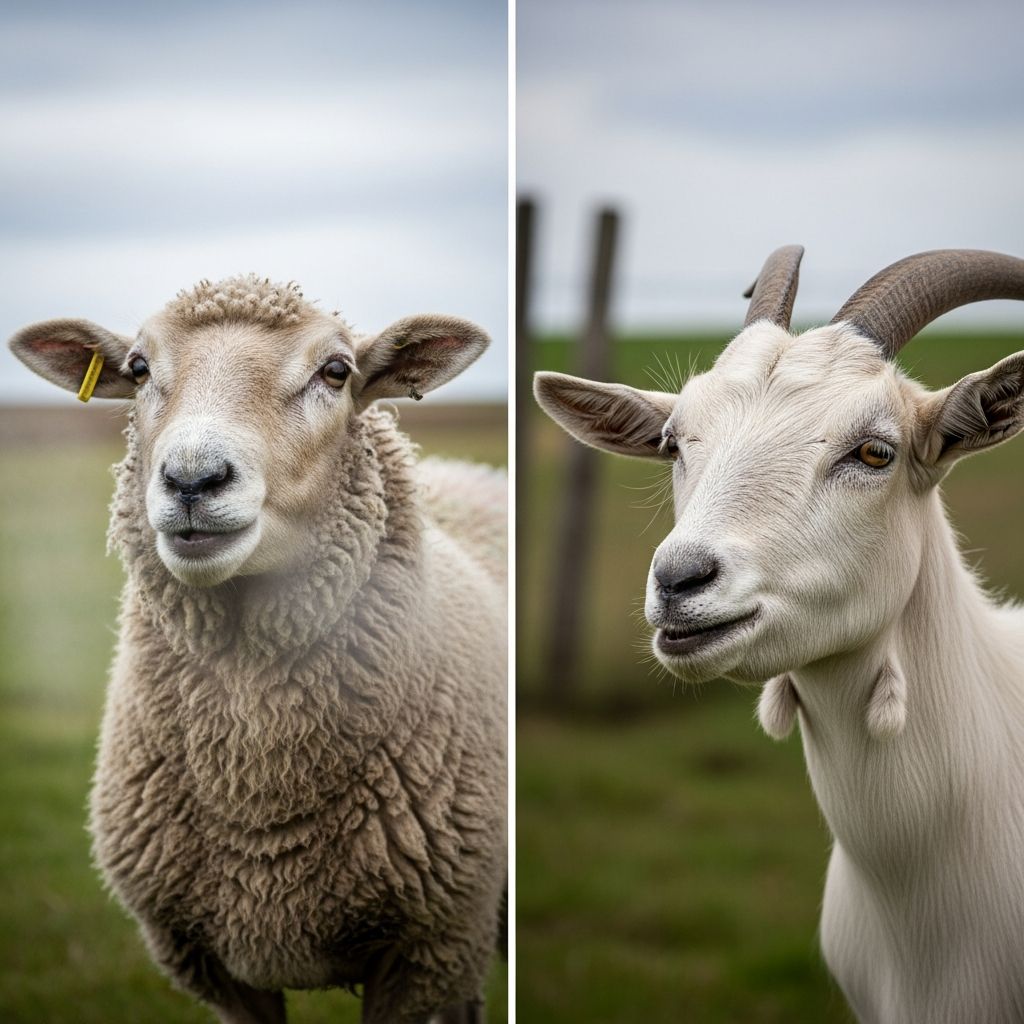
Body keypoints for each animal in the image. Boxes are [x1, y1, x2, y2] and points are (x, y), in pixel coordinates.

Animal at [9, 274, 507, 1024]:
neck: (255, 785)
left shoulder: (423, 950)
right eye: (137, 368)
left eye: (337, 371)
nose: (193, 479)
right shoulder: (211, 963)